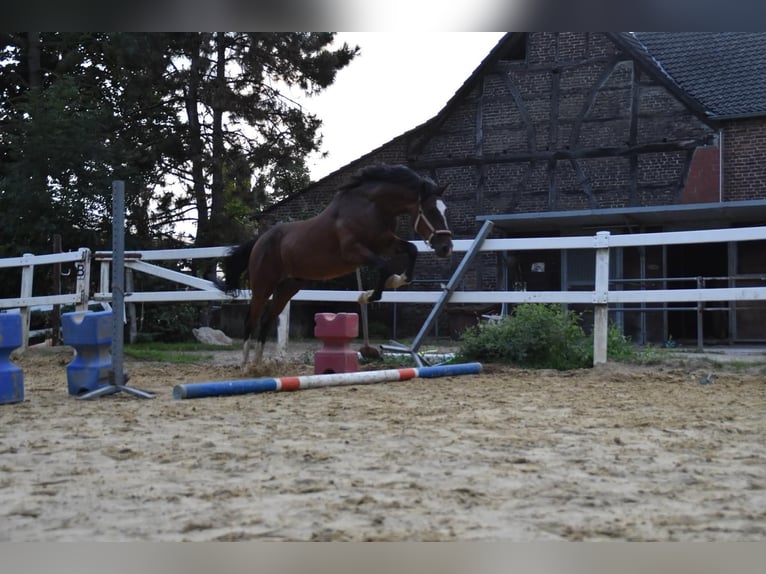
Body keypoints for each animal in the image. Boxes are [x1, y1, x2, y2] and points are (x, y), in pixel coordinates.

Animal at [219, 164, 454, 368]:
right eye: (430, 210)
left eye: (445, 210)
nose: (446, 248)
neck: (372, 206)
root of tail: (260, 239)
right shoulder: (354, 252)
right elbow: (384, 267)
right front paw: (370, 295)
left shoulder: (385, 243)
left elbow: (411, 250)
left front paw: (399, 280)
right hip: (263, 284)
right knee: (251, 320)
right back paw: (245, 365)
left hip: (288, 286)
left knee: (267, 319)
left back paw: (258, 365)